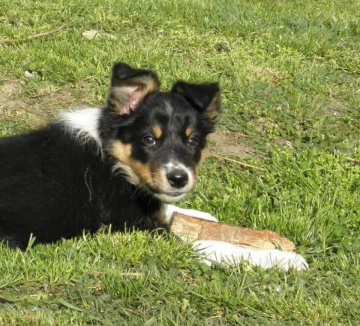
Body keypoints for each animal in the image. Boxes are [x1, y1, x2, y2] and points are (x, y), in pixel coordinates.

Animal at [0, 63, 310, 270]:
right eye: (149, 139)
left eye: (193, 140)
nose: (179, 178)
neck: (111, 156)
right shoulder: (135, 226)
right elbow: (212, 245)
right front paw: (282, 258)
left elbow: (171, 209)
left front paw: (207, 217)